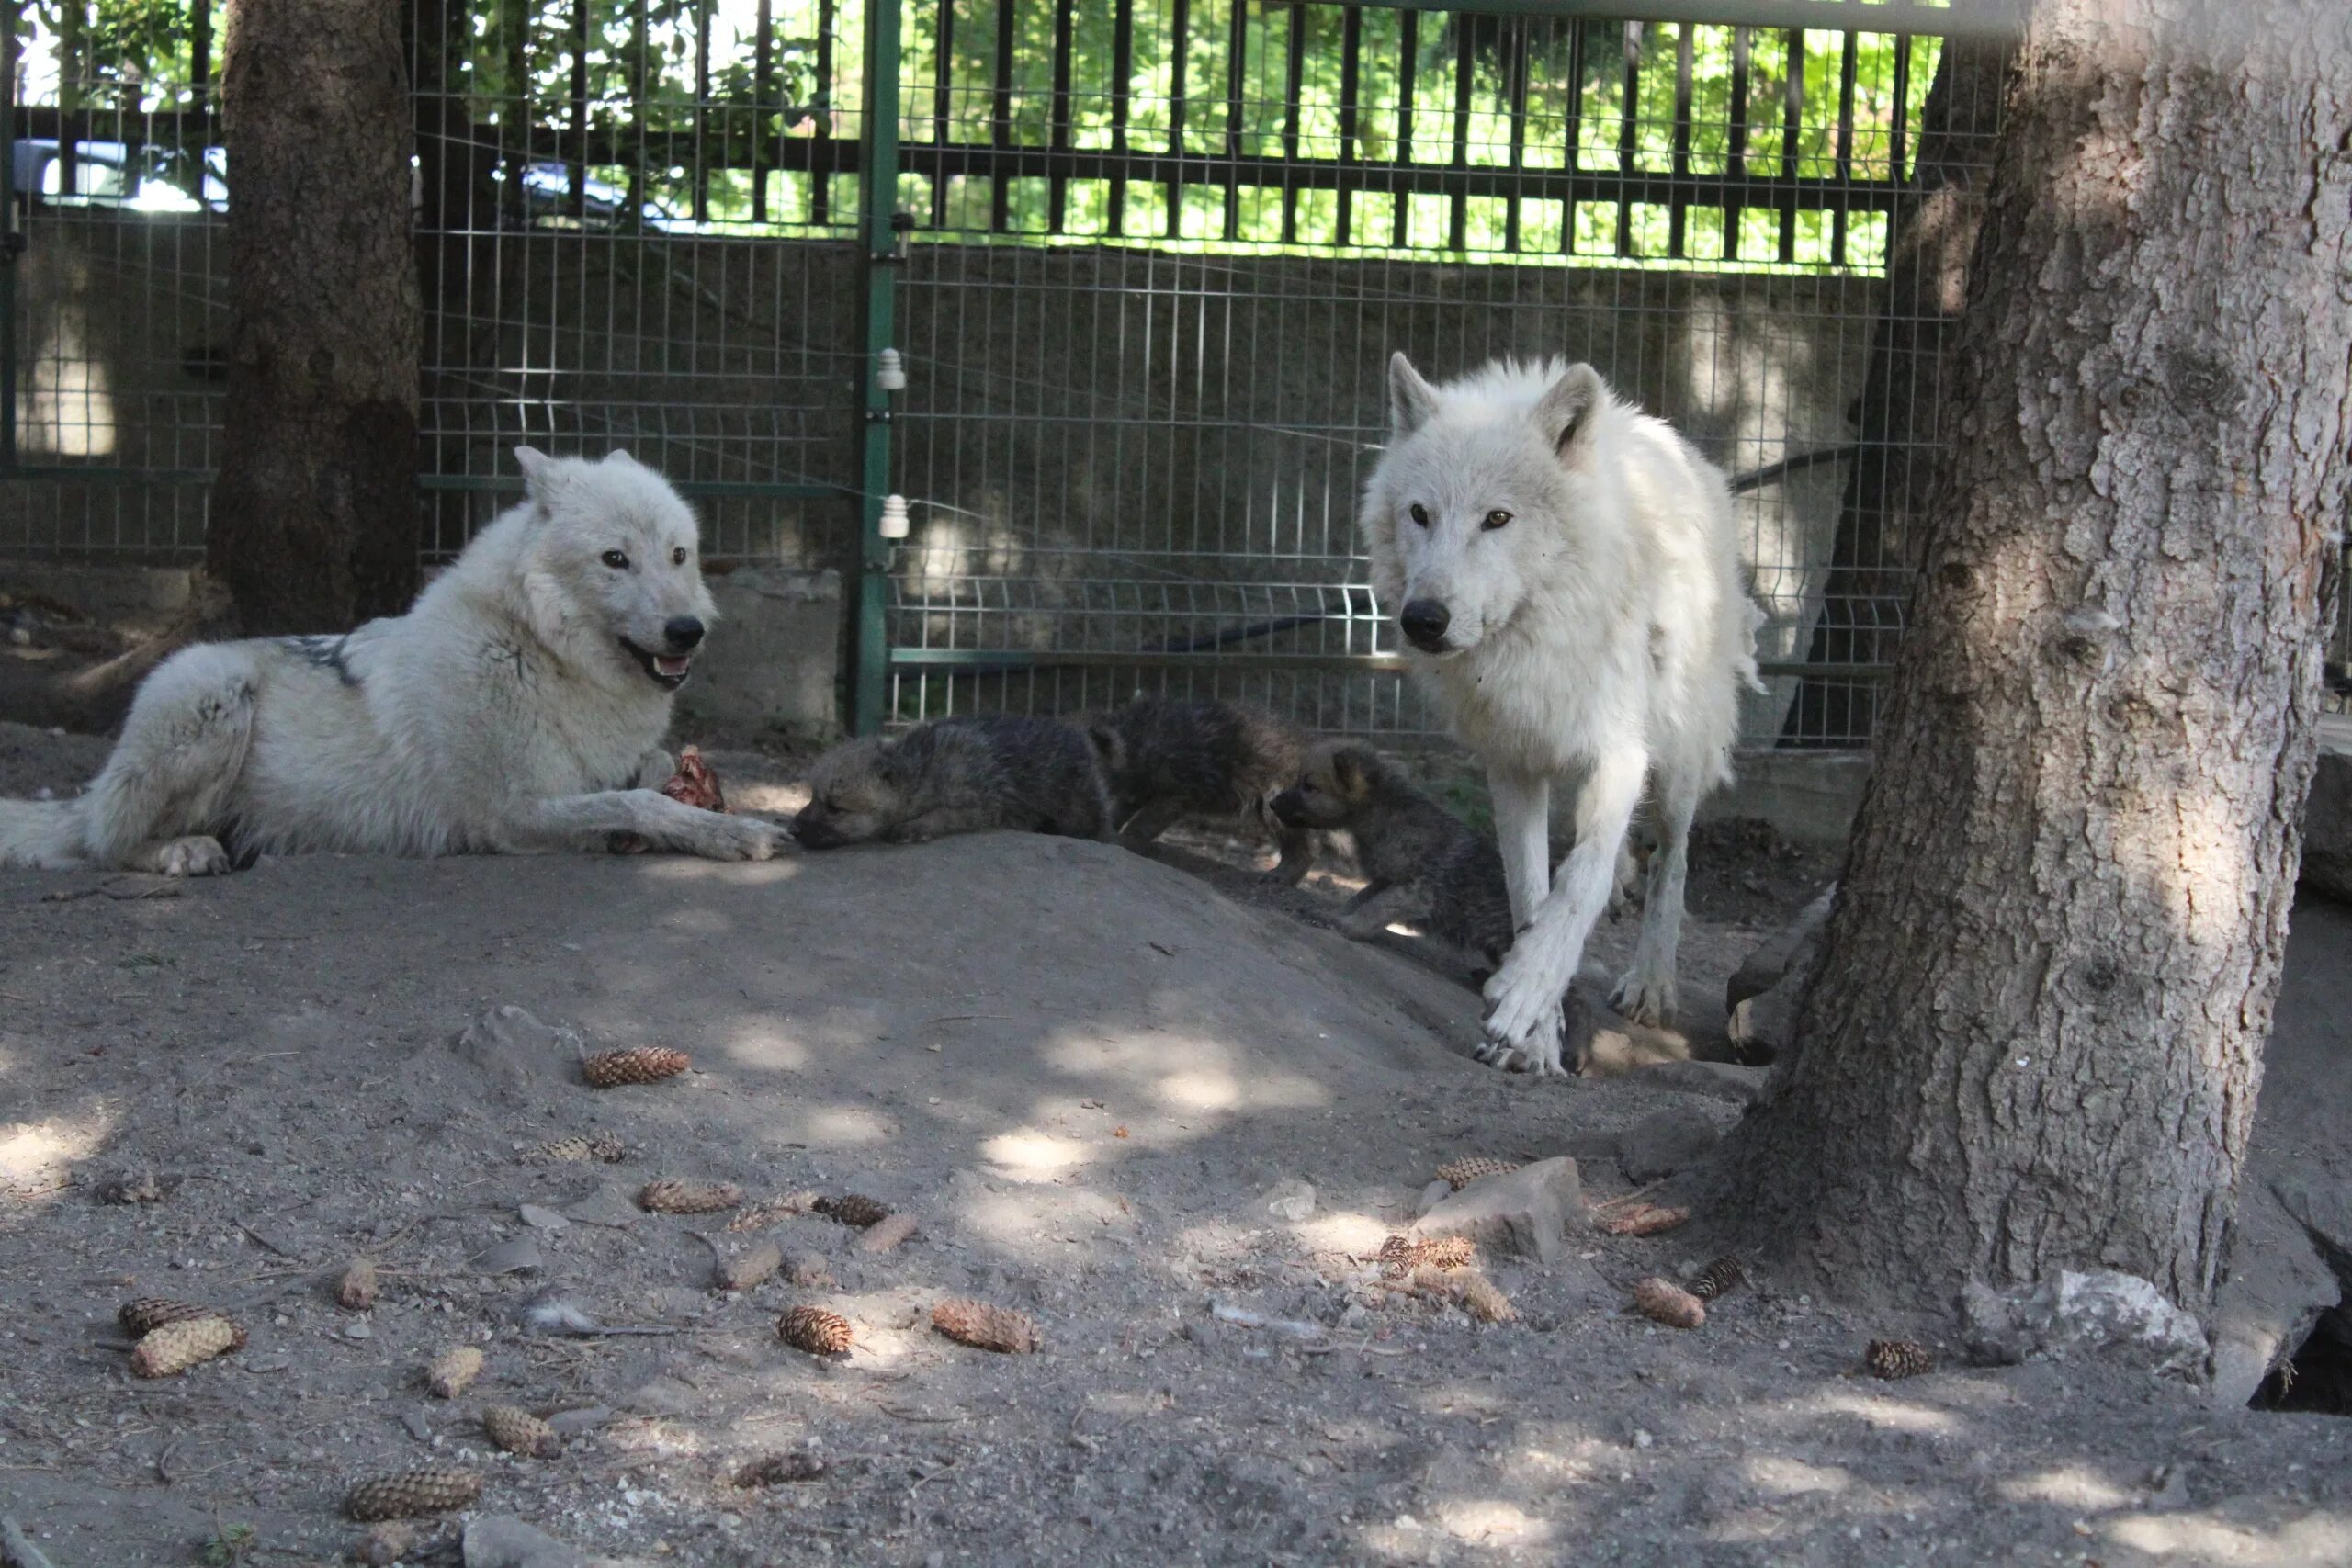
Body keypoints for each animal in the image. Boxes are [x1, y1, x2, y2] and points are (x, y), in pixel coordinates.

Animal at [0, 446, 790, 879]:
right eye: (615, 559)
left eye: (679, 554)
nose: (687, 631)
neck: (536, 651)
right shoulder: (510, 814)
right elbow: (638, 799)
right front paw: (737, 832)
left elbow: (650, 774)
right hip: (213, 696)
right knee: (103, 842)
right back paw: (182, 853)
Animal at [1363, 352, 1769, 1081]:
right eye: (1420, 514)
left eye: (1497, 518)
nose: (1423, 619)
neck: (1536, 639)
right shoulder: (1513, 761)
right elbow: (1529, 890)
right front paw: (1535, 1038)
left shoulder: (1620, 750)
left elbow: (1580, 880)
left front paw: (1527, 991)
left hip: (1677, 756)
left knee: (1674, 860)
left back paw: (1650, 983)